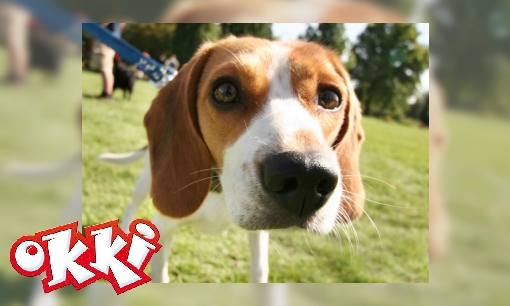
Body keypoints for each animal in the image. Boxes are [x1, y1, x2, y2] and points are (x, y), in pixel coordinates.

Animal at [99, 35, 364, 282]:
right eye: (226, 92)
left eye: (330, 98)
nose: (306, 174)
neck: (222, 194)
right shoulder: (163, 228)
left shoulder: (259, 236)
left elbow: (259, 270)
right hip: (147, 182)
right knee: (131, 207)